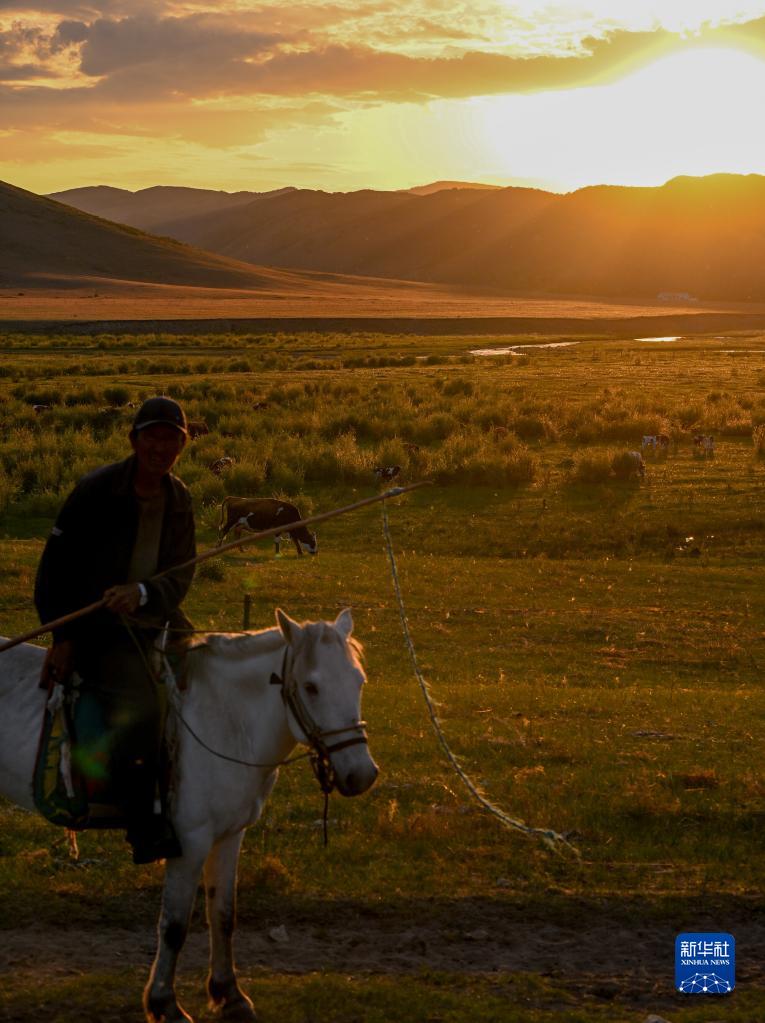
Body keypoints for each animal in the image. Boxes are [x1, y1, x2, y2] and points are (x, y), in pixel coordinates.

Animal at [0, 605, 376, 1023]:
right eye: (311, 687)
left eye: (359, 681)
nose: (361, 774)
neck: (227, 720)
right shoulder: (190, 842)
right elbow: (174, 925)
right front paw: (164, 1002)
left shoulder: (230, 836)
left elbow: (223, 915)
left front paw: (229, 994)